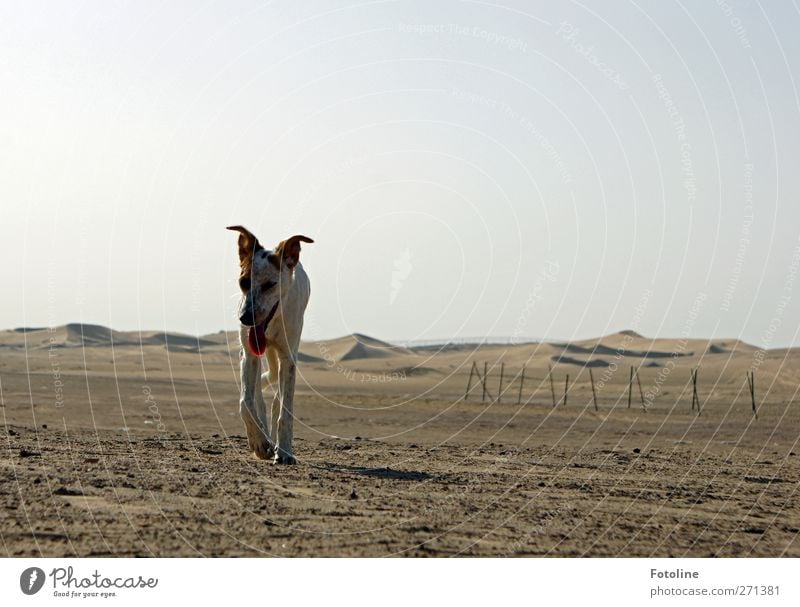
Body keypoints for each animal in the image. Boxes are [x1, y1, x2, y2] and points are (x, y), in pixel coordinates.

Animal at [228, 227, 312, 466]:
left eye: (270, 284)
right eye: (243, 282)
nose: (246, 318)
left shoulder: (288, 358)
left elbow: (285, 411)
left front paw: (284, 451)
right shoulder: (248, 354)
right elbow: (246, 402)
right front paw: (258, 443)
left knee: (276, 401)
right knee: (258, 398)